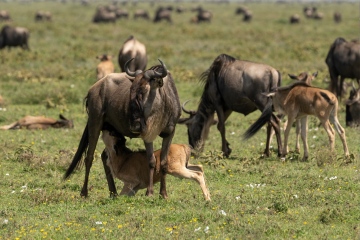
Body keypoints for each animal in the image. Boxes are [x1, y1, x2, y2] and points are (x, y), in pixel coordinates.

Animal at [63, 59, 181, 198]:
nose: (135, 126)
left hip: (113, 129)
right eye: (131, 90)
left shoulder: (170, 133)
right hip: (95, 123)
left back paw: (113, 192)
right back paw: (84, 193)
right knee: (90, 157)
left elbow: (163, 163)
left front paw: (163, 194)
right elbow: (151, 161)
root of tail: (94, 88)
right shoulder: (147, 135)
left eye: (144, 91)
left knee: (105, 155)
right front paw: (149, 192)